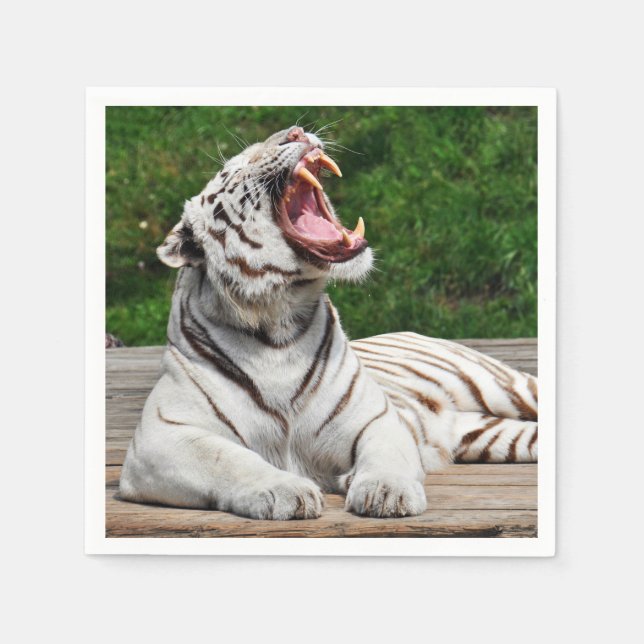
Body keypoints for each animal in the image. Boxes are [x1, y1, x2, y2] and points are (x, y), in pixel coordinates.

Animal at [118, 125, 538, 520]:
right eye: (233, 169)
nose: (296, 131)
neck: (278, 323)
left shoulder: (376, 417)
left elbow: (386, 455)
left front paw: (387, 492)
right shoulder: (161, 436)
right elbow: (230, 459)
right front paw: (284, 492)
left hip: (503, 386)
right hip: (490, 435)